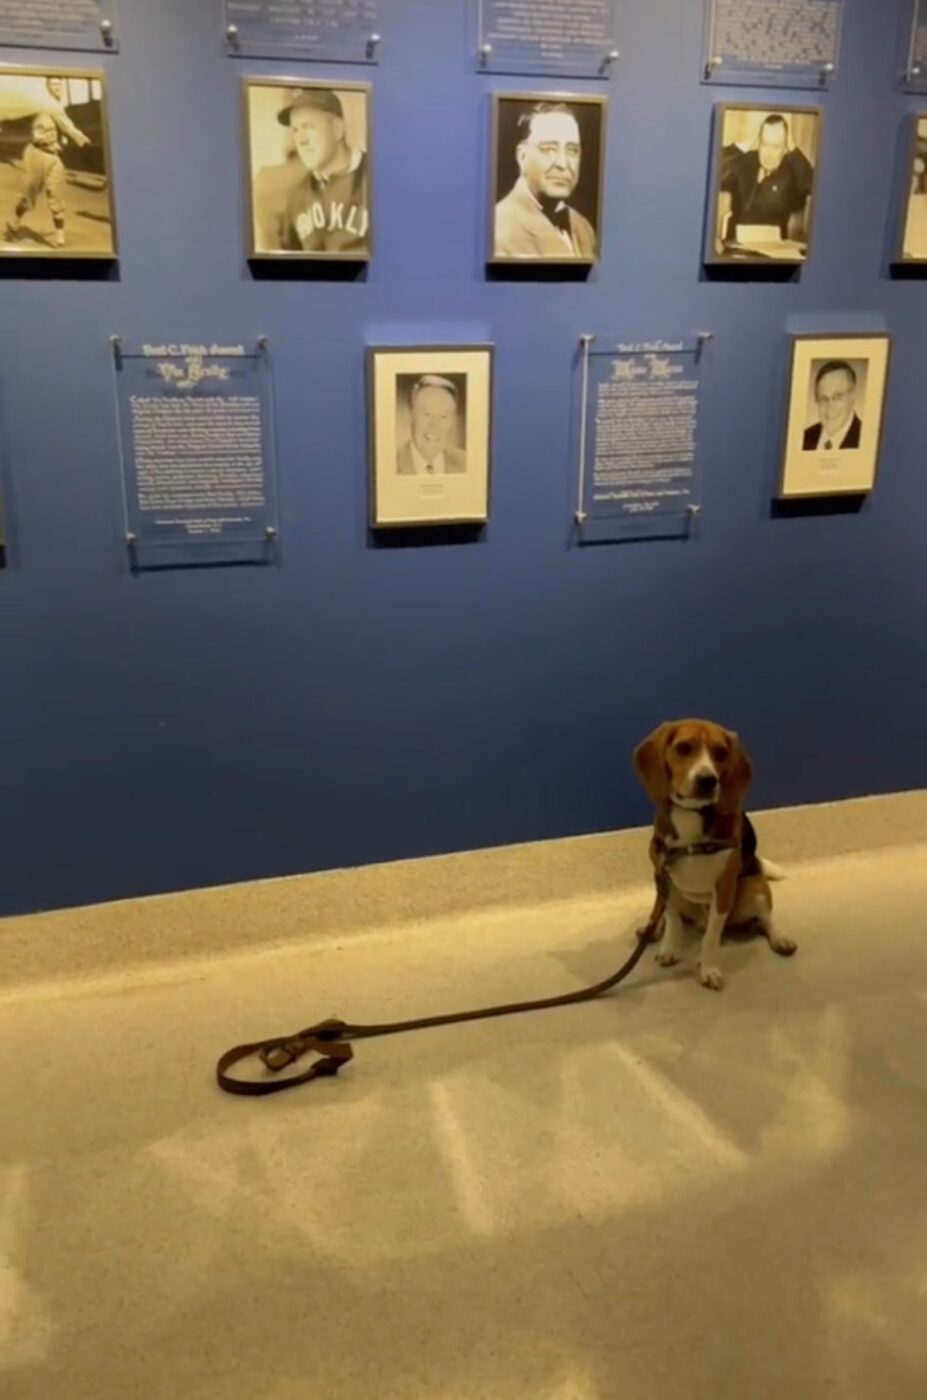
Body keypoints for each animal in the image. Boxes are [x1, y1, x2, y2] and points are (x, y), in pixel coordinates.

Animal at [638, 728, 800, 991]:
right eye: (683, 748)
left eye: (721, 753)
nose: (707, 780)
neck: (692, 815)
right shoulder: (664, 878)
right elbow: (673, 920)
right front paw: (669, 947)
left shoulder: (724, 887)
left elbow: (712, 937)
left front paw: (708, 967)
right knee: (661, 912)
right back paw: (651, 929)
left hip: (755, 888)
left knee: (765, 921)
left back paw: (780, 938)